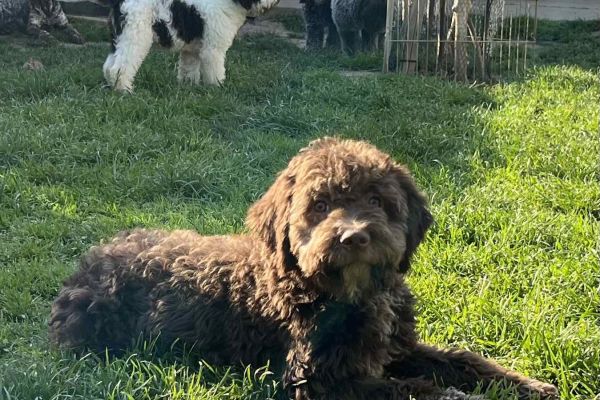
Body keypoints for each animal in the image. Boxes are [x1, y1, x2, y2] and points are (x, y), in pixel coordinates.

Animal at [48, 138, 556, 400]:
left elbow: (464, 360)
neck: (348, 295)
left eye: (377, 201)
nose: (354, 238)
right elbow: (409, 391)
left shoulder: (398, 347)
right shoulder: (321, 381)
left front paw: (530, 385)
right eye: (321, 205)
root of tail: (85, 266)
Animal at [102, 0, 278, 91]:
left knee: (108, 66)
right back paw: (124, 90)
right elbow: (215, 70)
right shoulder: (213, 49)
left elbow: (189, 70)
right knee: (120, 67)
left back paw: (113, 86)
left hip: (119, 39)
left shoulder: (191, 51)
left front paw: (189, 87)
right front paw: (217, 87)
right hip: (134, 38)